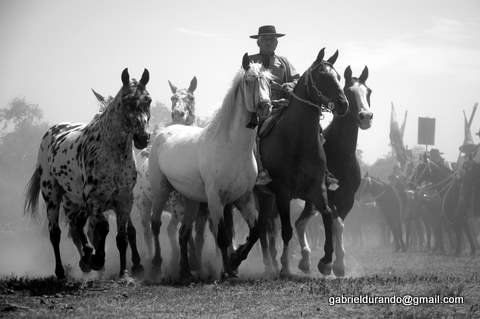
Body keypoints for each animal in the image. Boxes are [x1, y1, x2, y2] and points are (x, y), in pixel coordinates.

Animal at [24, 68, 152, 280]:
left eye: (148, 100)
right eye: (126, 101)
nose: (143, 138)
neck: (111, 153)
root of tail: (51, 133)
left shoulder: (124, 199)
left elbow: (123, 236)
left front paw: (125, 272)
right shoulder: (95, 200)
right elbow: (102, 229)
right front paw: (98, 260)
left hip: (74, 202)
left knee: (76, 228)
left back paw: (86, 260)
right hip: (52, 196)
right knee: (56, 233)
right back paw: (63, 270)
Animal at [148, 53, 272, 278]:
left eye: (268, 80)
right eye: (249, 80)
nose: (266, 106)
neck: (231, 147)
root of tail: (163, 132)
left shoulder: (243, 198)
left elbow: (256, 231)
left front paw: (236, 258)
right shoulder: (216, 200)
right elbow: (222, 236)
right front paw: (227, 270)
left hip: (191, 200)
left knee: (183, 233)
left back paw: (186, 271)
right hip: (161, 190)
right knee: (155, 224)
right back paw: (156, 265)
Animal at [229, 48, 348, 276]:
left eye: (338, 77)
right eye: (322, 76)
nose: (343, 104)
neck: (297, 140)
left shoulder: (317, 190)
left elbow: (328, 215)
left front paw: (326, 261)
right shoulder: (283, 192)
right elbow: (286, 230)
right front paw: (285, 266)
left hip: (266, 197)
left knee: (260, 226)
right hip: (257, 195)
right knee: (259, 227)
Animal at [290, 65, 374, 278]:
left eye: (368, 91)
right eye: (349, 92)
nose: (366, 117)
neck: (340, 155)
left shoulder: (347, 199)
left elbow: (338, 225)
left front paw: (338, 264)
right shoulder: (324, 197)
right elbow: (333, 224)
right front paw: (332, 264)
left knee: (300, 222)